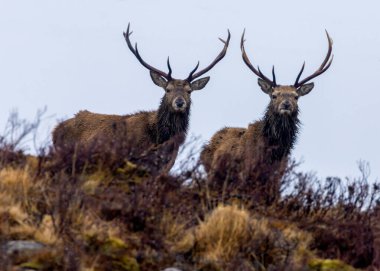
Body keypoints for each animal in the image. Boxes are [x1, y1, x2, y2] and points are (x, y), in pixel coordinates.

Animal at [200, 29, 334, 190]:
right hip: (213, 176)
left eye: (296, 96)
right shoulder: (244, 174)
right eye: (274, 95)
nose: (286, 104)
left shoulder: (277, 178)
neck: (271, 154)